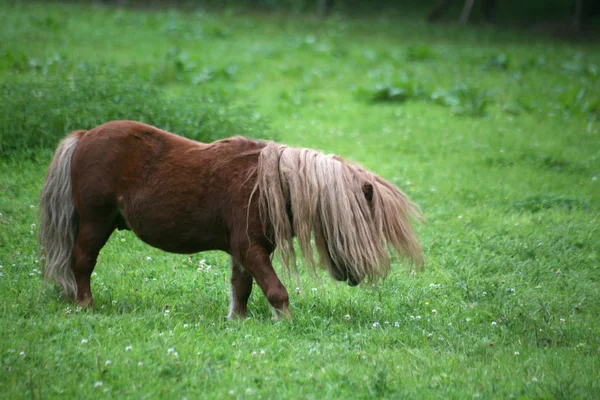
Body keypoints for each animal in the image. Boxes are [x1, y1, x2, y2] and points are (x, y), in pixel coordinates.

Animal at [38, 120, 422, 318]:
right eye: (359, 226)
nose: (352, 277)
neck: (267, 185)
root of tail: (84, 136)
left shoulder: (243, 251)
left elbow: (242, 288)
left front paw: (237, 321)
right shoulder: (251, 248)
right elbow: (276, 291)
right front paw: (285, 322)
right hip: (95, 223)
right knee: (81, 261)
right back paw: (86, 305)